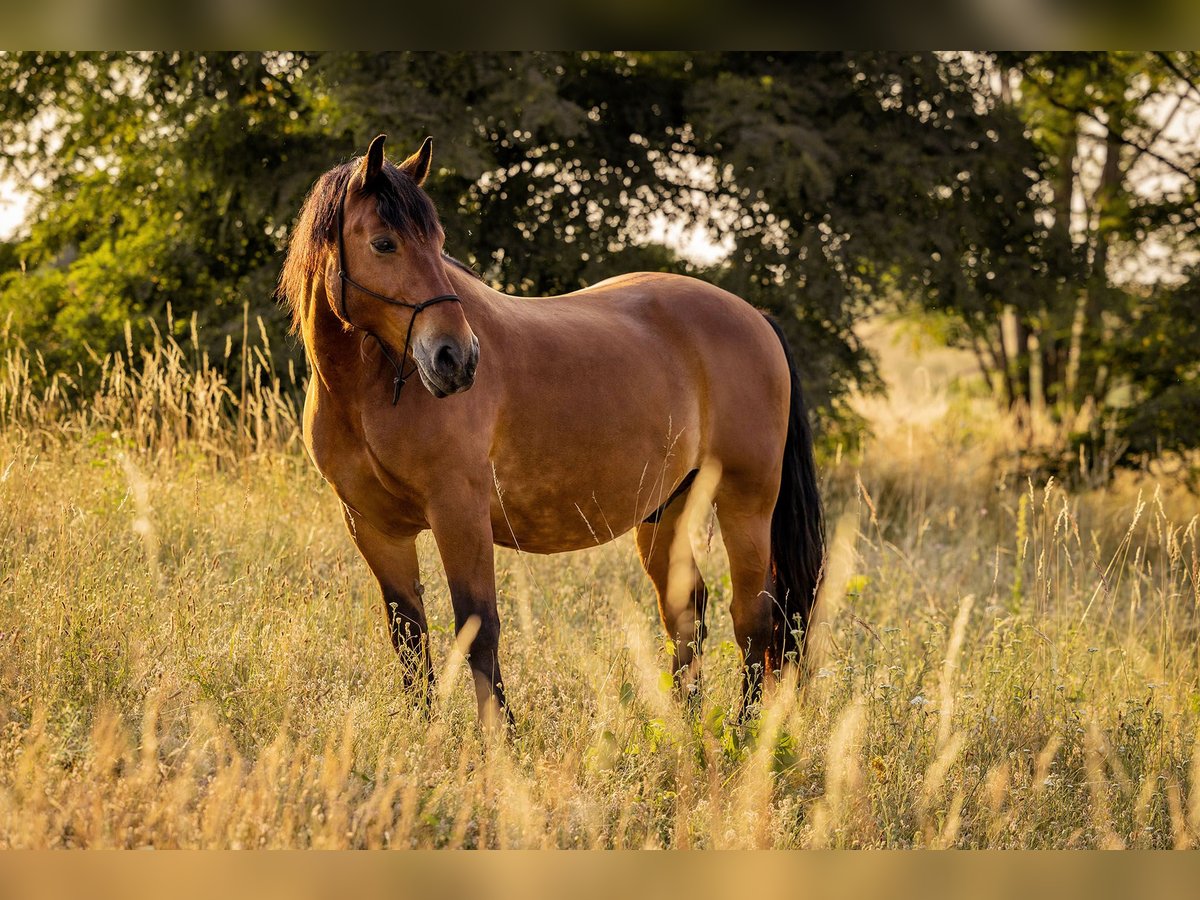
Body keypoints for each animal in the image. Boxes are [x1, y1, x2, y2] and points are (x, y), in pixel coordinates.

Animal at [279, 132, 825, 724]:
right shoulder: (375, 529)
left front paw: (500, 735)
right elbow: (408, 635)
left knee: (754, 618)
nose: (457, 359)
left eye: (437, 241)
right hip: (665, 511)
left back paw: (744, 728)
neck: (368, 393)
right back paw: (681, 721)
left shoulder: (459, 511)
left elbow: (478, 627)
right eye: (384, 244)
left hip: (746, 504)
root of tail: (756, 318)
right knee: (689, 613)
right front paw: (424, 733)